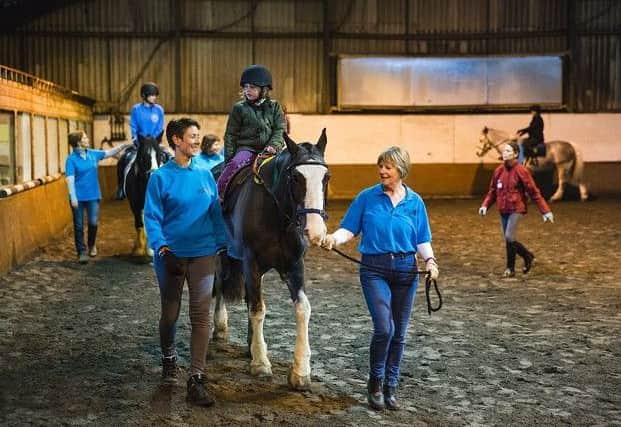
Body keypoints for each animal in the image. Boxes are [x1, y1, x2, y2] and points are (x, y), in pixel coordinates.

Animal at [216, 130, 330, 392]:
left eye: (326, 177)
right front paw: (261, 363)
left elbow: (302, 308)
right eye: (296, 177)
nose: (315, 230)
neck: (278, 214)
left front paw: (300, 372)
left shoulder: (293, 266)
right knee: (218, 286)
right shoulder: (251, 262)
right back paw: (219, 325)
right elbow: (258, 309)